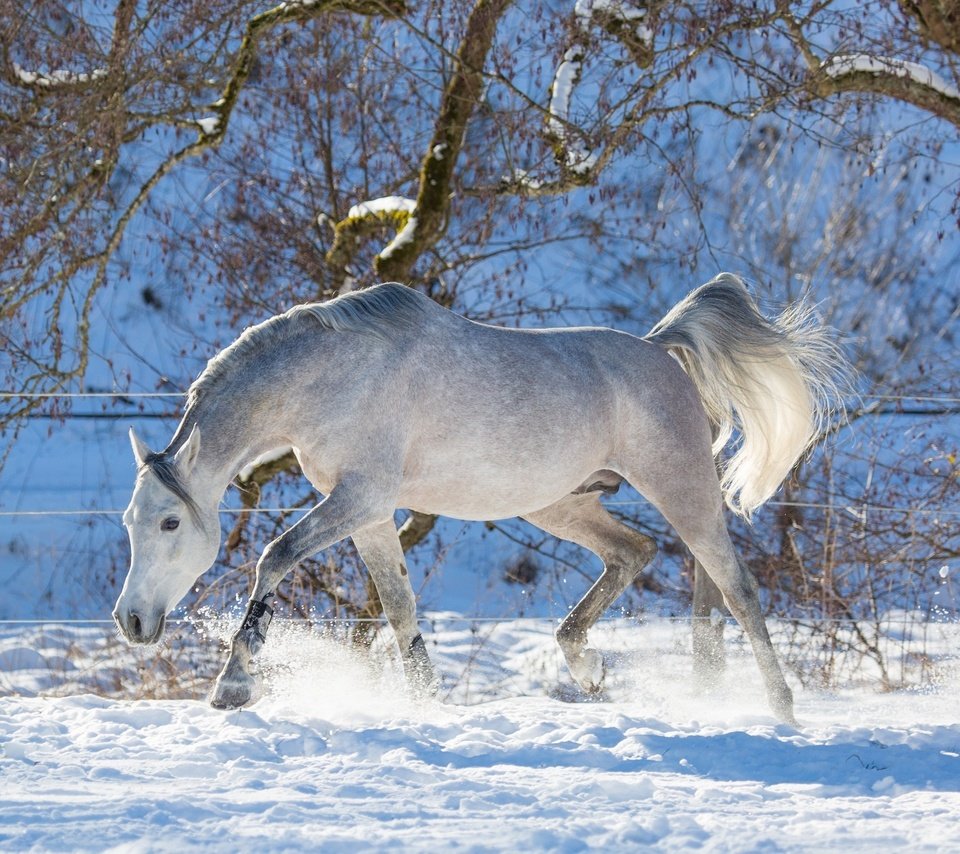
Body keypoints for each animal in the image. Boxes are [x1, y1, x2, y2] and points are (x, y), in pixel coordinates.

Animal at [116, 278, 844, 724]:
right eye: (130, 521)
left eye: (171, 521)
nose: (131, 621)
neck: (331, 377)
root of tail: (658, 352)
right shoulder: (369, 512)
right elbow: (400, 607)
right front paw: (425, 706)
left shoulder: (359, 497)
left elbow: (274, 556)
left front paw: (231, 687)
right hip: (556, 504)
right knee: (634, 553)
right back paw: (588, 667)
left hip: (683, 490)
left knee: (735, 587)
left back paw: (779, 708)